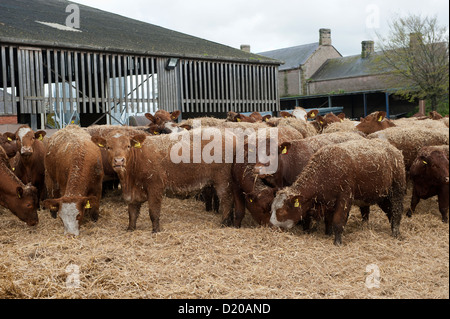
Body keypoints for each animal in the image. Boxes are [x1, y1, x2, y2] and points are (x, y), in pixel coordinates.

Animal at [90, 127, 234, 232]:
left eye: (128, 146)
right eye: (108, 147)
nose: (119, 161)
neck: (129, 180)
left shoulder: (155, 187)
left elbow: (153, 212)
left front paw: (155, 230)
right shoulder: (132, 193)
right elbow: (132, 213)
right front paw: (130, 229)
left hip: (223, 181)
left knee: (226, 201)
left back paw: (224, 223)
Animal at [268, 139, 406, 246]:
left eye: (282, 211)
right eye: (271, 209)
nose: (272, 227)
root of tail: (394, 150)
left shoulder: (344, 198)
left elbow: (338, 221)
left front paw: (337, 241)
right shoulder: (328, 201)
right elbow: (328, 220)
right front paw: (328, 234)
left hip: (397, 191)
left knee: (396, 212)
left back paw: (396, 233)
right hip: (382, 196)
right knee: (390, 212)